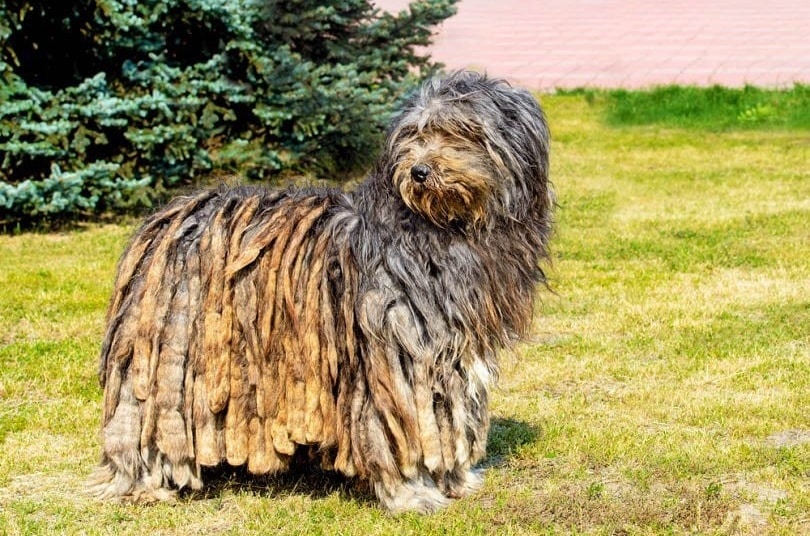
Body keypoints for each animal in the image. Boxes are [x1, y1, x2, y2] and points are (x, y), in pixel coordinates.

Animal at [93, 69, 548, 512]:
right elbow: (399, 429)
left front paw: (455, 480)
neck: (440, 228)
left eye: (461, 131)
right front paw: (411, 493)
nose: (419, 171)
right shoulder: (392, 352)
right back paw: (143, 484)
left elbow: (448, 416)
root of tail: (167, 219)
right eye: (413, 134)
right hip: (165, 355)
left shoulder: (452, 352)